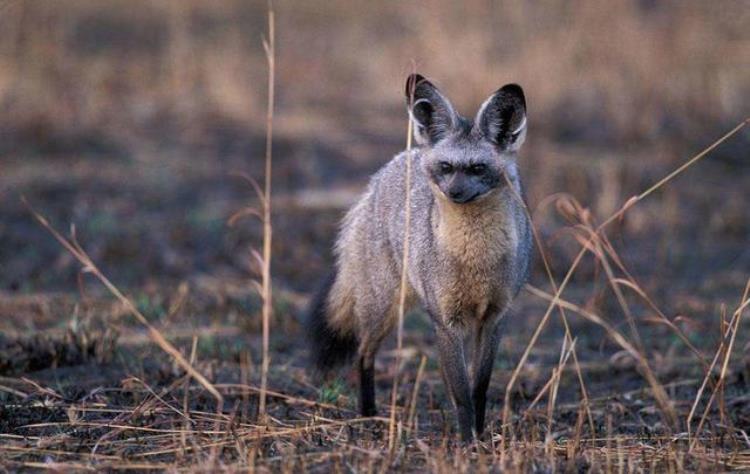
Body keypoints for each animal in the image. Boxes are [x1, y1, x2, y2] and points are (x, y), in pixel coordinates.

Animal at [306, 73, 536, 440]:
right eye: (446, 167)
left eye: (478, 168)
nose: (454, 192)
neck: (476, 260)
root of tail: (393, 165)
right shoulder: (445, 321)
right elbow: (460, 394)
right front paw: (467, 441)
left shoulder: (495, 317)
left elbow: (479, 388)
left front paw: (481, 436)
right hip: (384, 307)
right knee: (363, 353)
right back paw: (368, 416)